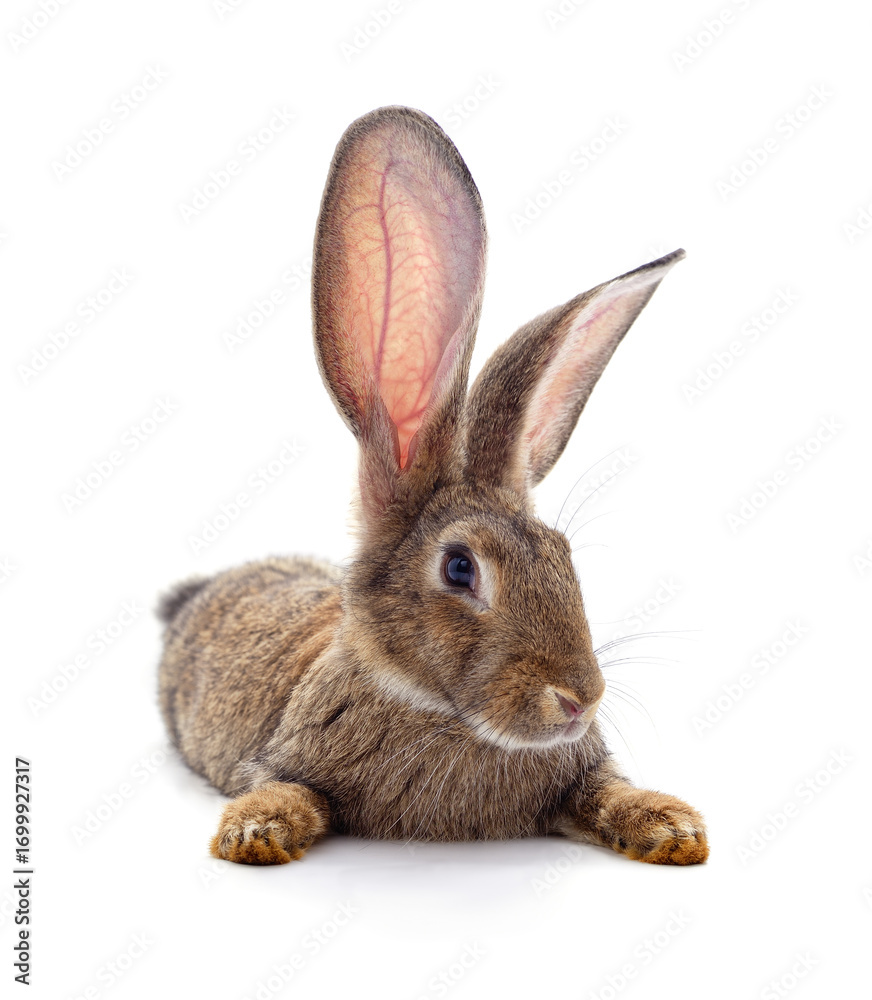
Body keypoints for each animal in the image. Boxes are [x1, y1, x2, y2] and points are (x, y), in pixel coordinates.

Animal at [158, 105, 708, 866]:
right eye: (458, 568)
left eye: (564, 556)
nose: (579, 701)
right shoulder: (281, 758)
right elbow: (284, 789)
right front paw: (255, 834)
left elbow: (609, 791)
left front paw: (675, 829)